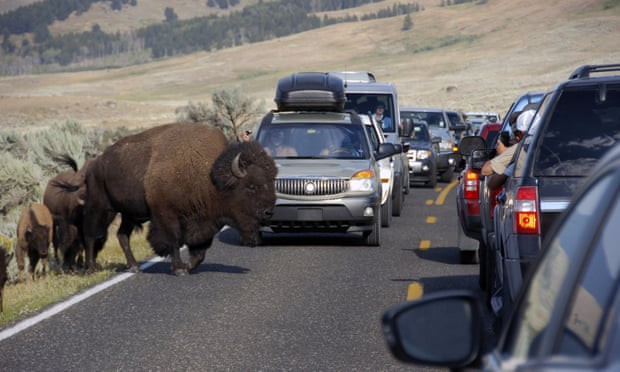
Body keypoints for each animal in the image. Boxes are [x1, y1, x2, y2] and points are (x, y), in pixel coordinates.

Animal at [64, 123, 274, 274]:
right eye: (251, 186)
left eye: (271, 180)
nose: (268, 212)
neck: (209, 175)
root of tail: (94, 163)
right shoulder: (167, 215)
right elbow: (174, 240)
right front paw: (180, 269)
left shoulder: (204, 220)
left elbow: (201, 249)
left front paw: (190, 266)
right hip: (101, 207)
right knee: (90, 234)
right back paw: (91, 269)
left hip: (128, 214)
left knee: (122, 235)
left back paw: (134, 266)